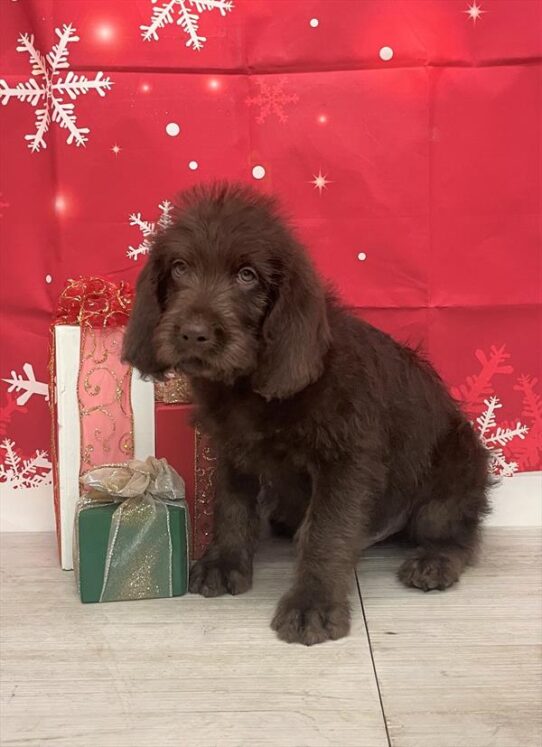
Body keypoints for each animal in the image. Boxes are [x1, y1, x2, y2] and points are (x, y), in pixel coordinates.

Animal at [123, 181, 492, 644]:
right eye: (179, 267)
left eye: (247, 275)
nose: (194, 334)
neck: (249, 384)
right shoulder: (232, 449)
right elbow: (230, 505)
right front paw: (224, 562)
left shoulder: (346, 461)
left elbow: (326, 531)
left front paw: (312, 603)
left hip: (452, 469)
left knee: (459, 530)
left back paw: (435, 561)